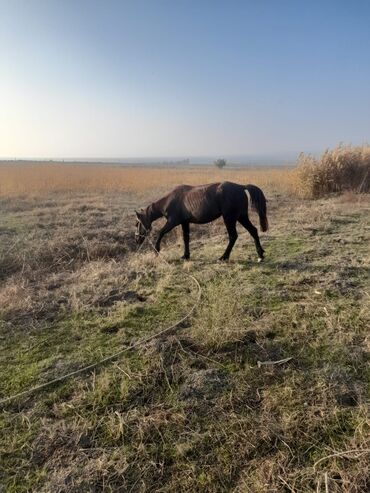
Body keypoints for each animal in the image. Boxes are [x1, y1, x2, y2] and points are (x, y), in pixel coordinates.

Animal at [134, 182, 268, 262]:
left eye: (137, 223)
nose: (137, 239)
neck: (170, 200)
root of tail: (241, 186)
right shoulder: (185, 223)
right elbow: (186, 238)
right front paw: (186, 255)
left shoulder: (173, 222)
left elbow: (161, 232)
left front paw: (156, 250)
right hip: (241, 217)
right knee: (253, 231)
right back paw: (260, 255)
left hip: (229, 219)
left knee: (233, 236)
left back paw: (224, 257)